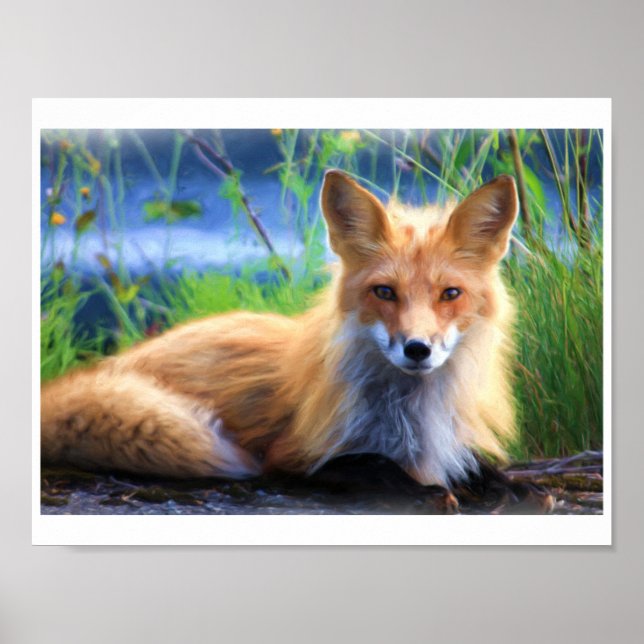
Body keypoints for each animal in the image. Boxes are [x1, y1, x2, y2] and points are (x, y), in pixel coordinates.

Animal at [41, 170, 552, 510]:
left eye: (450, 294)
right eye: (385, 292)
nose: (417, 349)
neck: (411, 415)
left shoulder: (451, 439)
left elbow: (476, 463)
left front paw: (513, 486)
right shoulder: (290, 457)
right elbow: (372, 464)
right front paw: (427, 492)